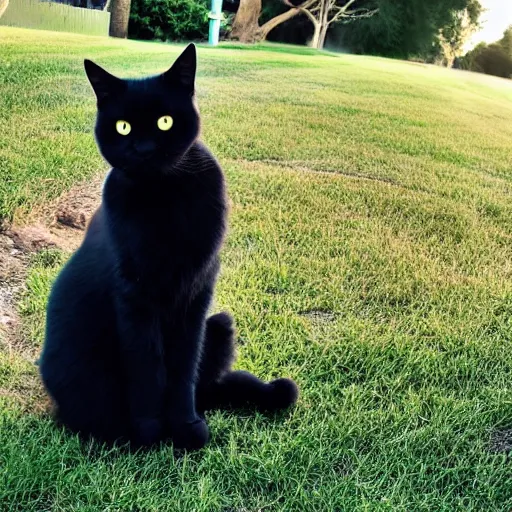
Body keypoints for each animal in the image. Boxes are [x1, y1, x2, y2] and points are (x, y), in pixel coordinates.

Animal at [41, 45, 300, 452]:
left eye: (165, 122)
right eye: (123, 127)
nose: (145, 149)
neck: (165, 198)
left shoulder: (196, 294)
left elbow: (181, 371)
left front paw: (185, 428)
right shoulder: (135, 299)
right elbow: (149, 371)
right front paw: (151, 433)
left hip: (220, 323)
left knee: (208, 387)